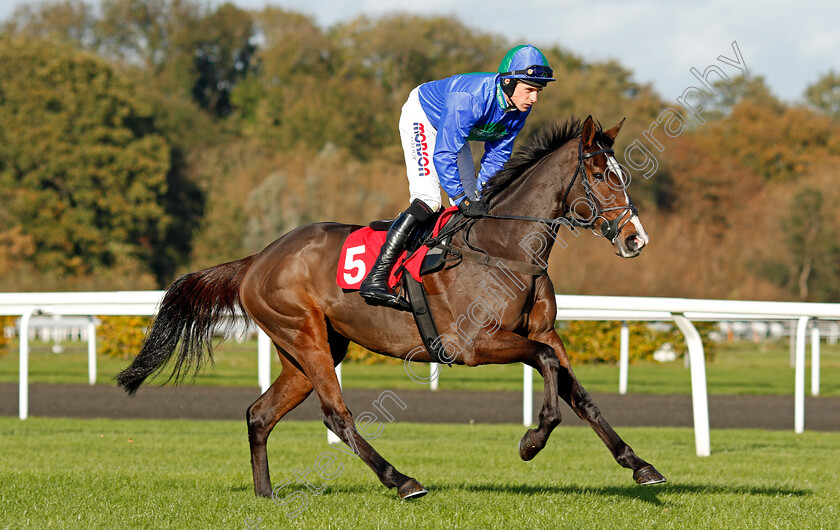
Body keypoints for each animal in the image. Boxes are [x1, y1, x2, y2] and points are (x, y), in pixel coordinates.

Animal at [116, 116, 664, 500]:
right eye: (601, 174)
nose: (637, 238)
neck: (504, 247)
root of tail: (256, 259)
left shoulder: (544, 332)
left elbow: (579, 393)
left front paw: (639, 465)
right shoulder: (472, 344)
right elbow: (549, 368)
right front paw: (532, 440)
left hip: (309, 348)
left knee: (259, 414)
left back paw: (266, 495)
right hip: (305, 337)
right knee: (336, 416)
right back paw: (401, 481)